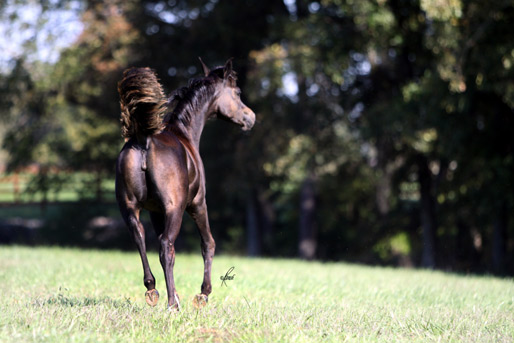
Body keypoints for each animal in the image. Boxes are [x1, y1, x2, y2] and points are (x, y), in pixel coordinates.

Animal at [114, 59, 254, 312]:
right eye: (237, 92)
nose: (251, 117)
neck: (184, 133)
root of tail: (144, 141)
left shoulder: (156, 212)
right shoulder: (198, 204)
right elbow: (208, 243)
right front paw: (202, 295)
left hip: (129, 209)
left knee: (140, 238)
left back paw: (152, 290)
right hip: (176, 209)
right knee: (166, 246)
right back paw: (172, 304)